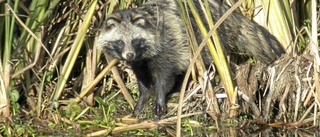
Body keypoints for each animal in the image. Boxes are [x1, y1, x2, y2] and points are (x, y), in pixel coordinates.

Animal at [97, 0, 284, 116]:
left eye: (135, 41)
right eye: (120, 42)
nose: (129, 55)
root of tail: (229, 14)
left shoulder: (168, 45)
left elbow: (165, 75)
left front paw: (160, 97)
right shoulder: (139, 61)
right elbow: (143, 79)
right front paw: (142, 99)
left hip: (208, 37)